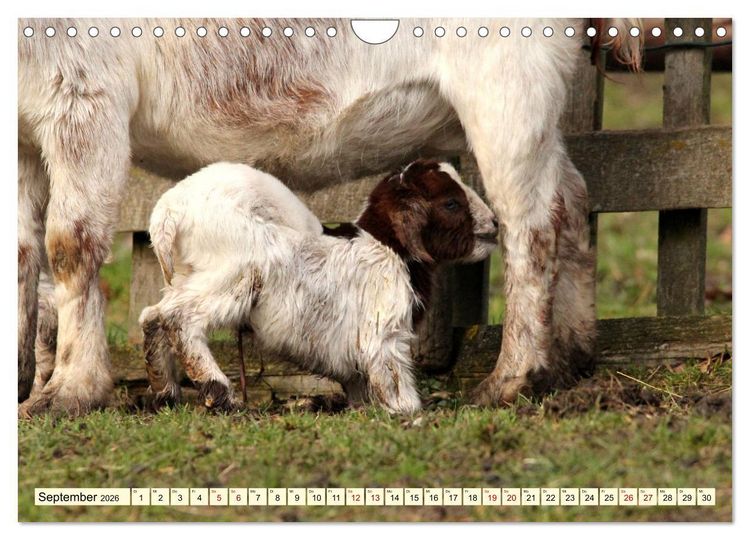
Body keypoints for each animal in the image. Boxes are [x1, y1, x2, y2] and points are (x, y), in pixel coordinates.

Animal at [139, 160, 498, 413]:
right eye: (451, 203)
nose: (494, 224)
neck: (388, 247)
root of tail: (168, 214)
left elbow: (358, 379)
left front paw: (360, 407)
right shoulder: (383, 331)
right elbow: (391, 372)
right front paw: (405, 409)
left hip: (188, 277)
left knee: (152, 315)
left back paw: (164, 390)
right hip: (232, 276)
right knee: (178, 318)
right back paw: (219, 392)